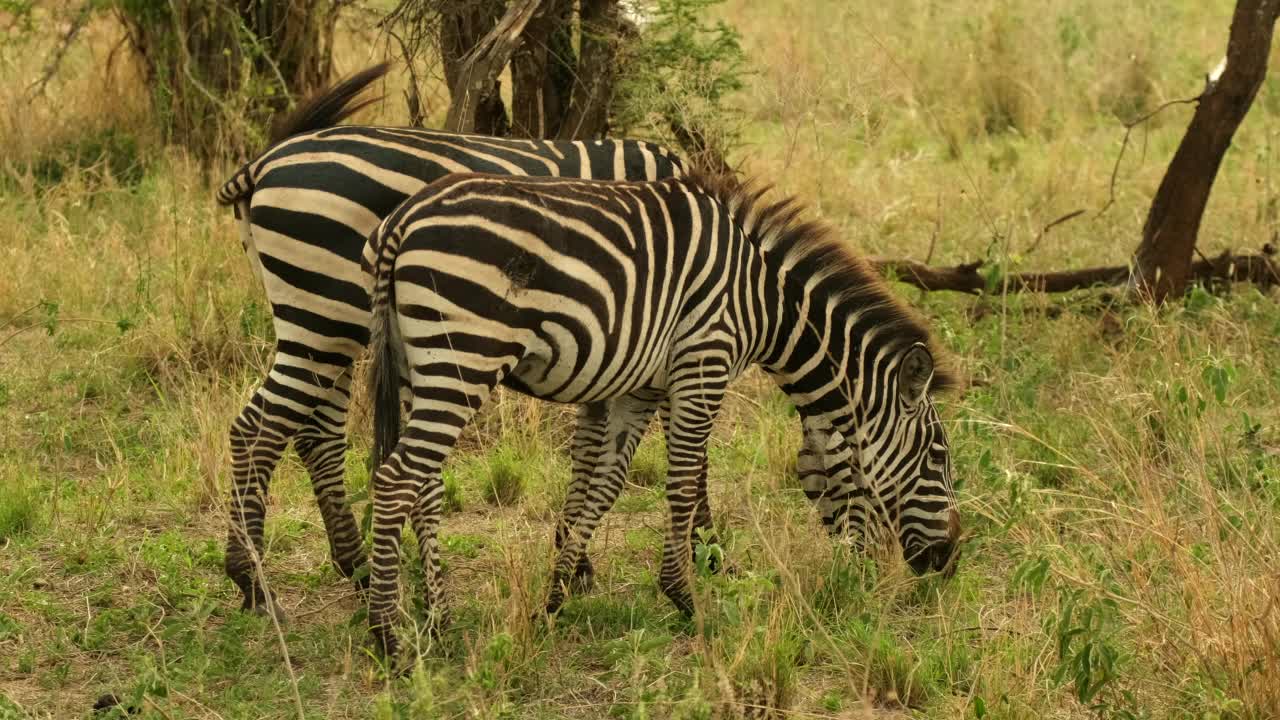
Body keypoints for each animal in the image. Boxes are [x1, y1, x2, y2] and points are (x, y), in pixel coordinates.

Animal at [212, 61, 701, 614]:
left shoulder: (618, 337)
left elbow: (591, 448)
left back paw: (354, 567)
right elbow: (677, 449)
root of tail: (264, 162)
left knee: (316, 434)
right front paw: (700, 548)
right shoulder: (654, 320)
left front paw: (575, 558)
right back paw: (254, 581)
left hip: (323, 321)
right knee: (258, 430)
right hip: (326, 313)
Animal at [360, 170, 962, 653]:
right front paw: (685, 597)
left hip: (419, 365)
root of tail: (403, 220)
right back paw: (389, 638)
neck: (765, 303)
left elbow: (605, 486)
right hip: (464, 354)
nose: (949, 560)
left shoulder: (642, 387)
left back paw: (438, 622)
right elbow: (684, 480)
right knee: (395, 481)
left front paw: (555, 599)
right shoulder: (703, 362)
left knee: (425, 487)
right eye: (938, 456)